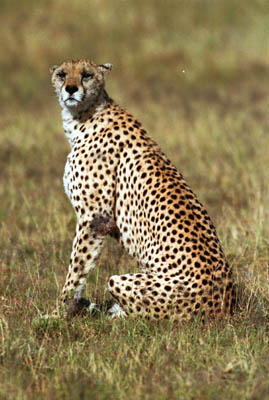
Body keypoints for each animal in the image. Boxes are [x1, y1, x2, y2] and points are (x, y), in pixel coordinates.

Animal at [50, 59, 234, 320]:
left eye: (86, 75)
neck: (84, 117)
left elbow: (75, 271)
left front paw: (55, 315)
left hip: (124, 282)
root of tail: (227, 305)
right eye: (62, 74)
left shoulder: (95, 218)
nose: (71, 89)